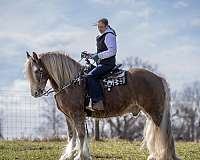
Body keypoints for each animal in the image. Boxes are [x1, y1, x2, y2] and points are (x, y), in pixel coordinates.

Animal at [25, 51, 180, 160]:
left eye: (37, 71)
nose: (35, 93)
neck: (71, 83)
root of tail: (158, 78)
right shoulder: (68, 116)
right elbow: (72, 135)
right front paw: (68, 155)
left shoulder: (77, 114)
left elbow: (81, 134)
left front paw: (80, 156)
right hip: (150, 113)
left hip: (156, 112)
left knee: (165, 133)